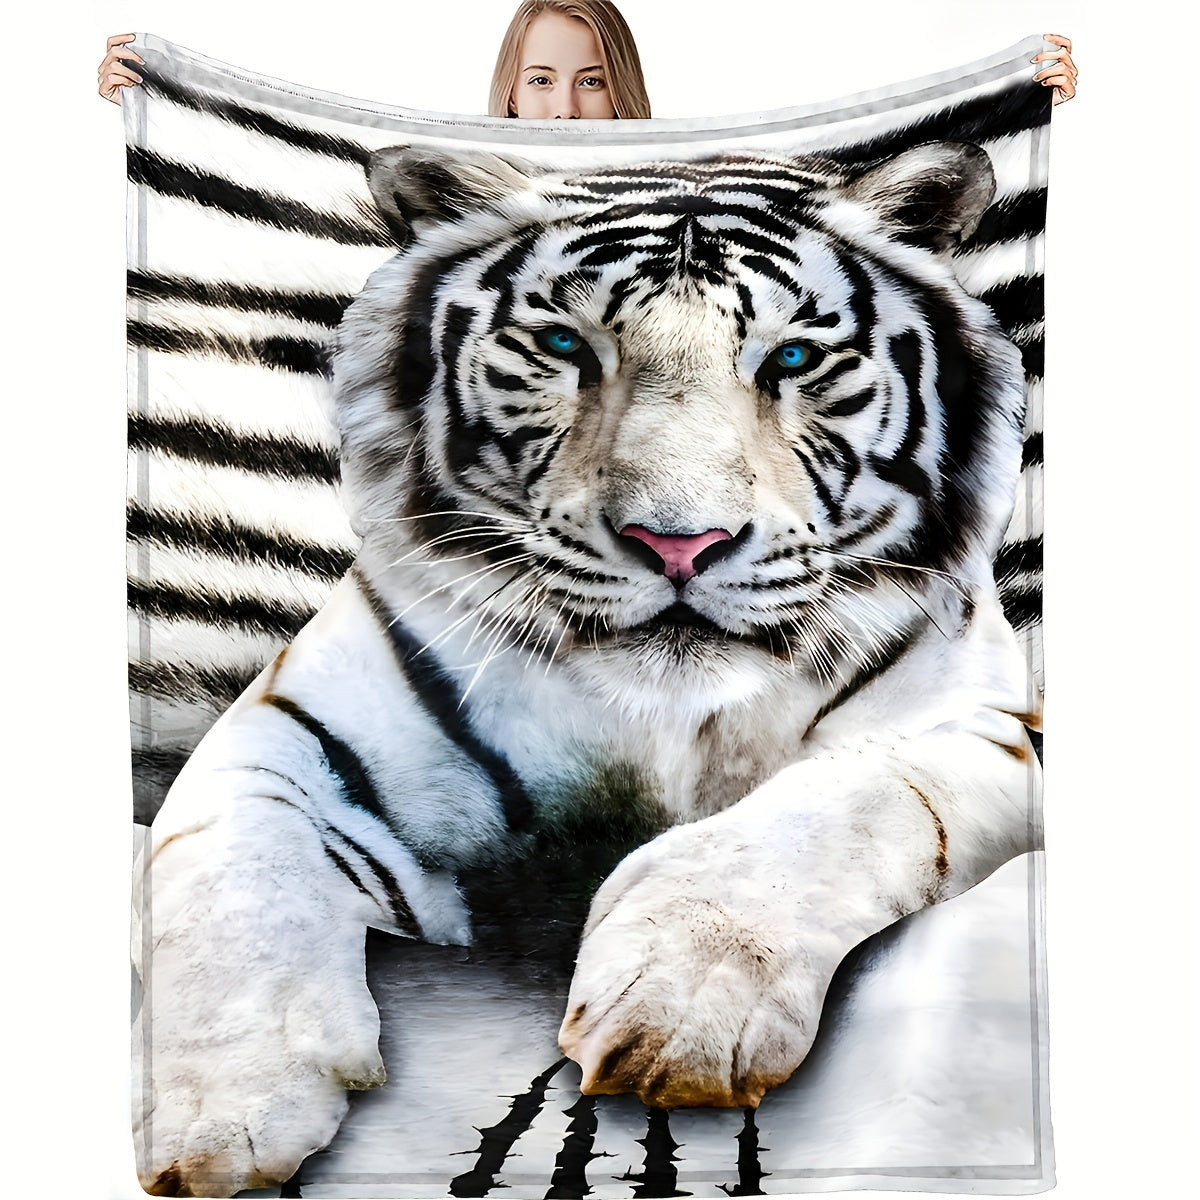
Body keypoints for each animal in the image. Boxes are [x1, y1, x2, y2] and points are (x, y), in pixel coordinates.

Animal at [132, 138, 1041, 1197]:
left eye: (793, 359)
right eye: (566, 347)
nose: (680, 544)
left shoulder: (998, 727)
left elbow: (850, 801)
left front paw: (682, 1006)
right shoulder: (292, 728)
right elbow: (230, 882)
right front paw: (219, 1114)